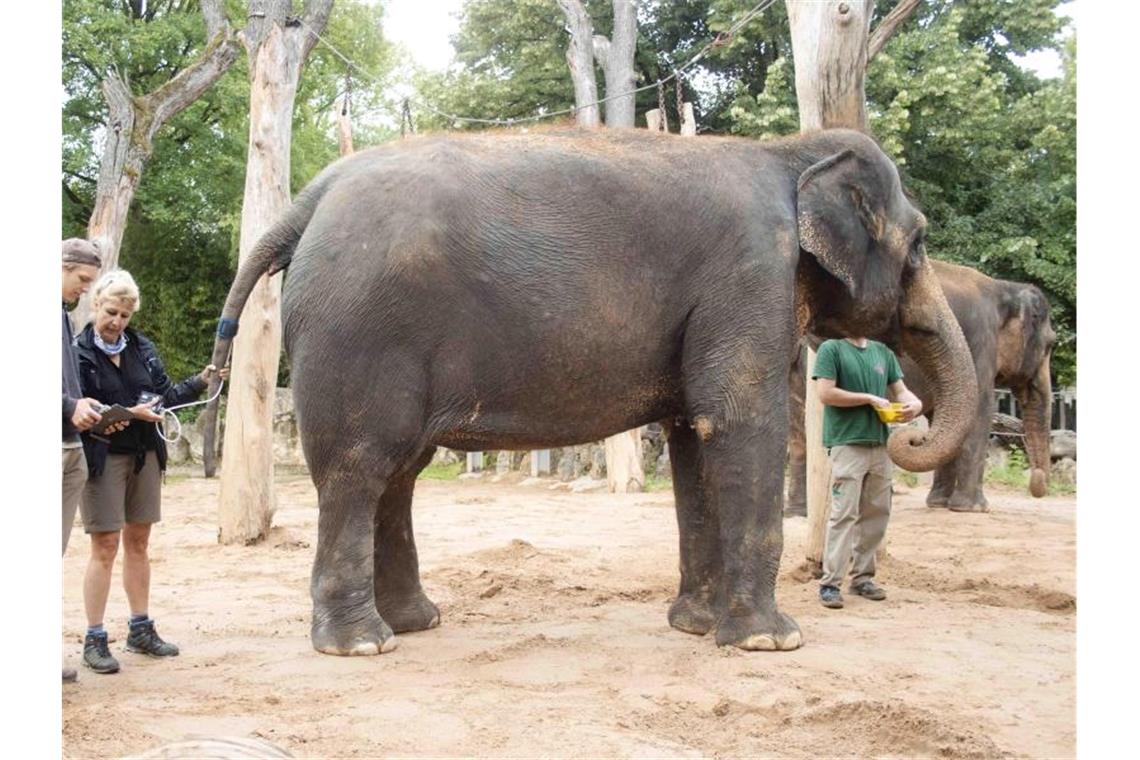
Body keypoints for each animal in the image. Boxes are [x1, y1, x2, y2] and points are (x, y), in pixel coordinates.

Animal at [205, 127, 980, 656]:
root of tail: (310, 198)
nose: (906, 420)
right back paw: (363, 645)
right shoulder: (749, 275)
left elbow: (693, 438)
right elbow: (736, 423)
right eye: (919, 243)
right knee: (361, 467)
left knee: (399, 473)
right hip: (363, 330)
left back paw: (413, 624)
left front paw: (696, 627)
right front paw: (771, 641)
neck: (788, 152)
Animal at [788, 258, 1053, 515]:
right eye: (1051, 345)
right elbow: (980, 412)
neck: (1004, 288)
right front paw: (975, 509)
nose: (1037, 479)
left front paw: (939, 504)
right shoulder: (981, 341)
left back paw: (797, 512)